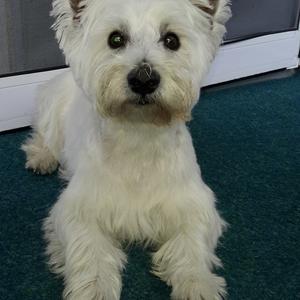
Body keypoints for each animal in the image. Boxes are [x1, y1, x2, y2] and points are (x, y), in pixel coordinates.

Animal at [22, 1, 231, 298]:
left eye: (172, 40)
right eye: (116, 39)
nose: (144, 79)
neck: (138, 136)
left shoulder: (194, 204)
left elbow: (192, 243)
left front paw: (196, 283)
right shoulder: (79, 209)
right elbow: (89, 247)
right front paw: (95, 287)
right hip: (52, 109)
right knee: (42, 135)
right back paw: (41, 158)